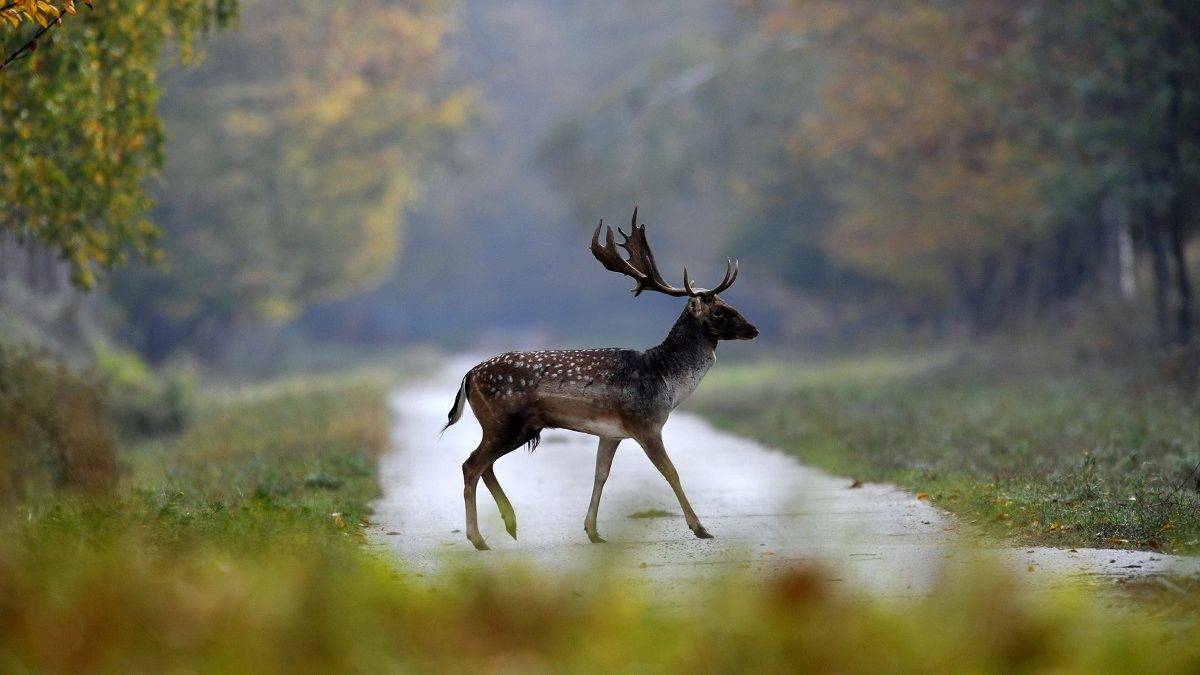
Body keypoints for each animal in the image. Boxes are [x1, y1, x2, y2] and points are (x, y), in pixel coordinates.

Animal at [441, 205, 758, 547]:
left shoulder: (611, 433)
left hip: (510, 427)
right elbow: (671, 472)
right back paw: (479, 538)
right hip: (505, 422)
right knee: (471, 465)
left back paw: (510, 524)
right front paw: (700, 528)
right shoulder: (645, 424)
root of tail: (469, 375)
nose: (754, 329)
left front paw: (593, 531)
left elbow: (601, 475)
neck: (665, 380)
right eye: (719, 311)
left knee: (483, 466)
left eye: (728, 303)